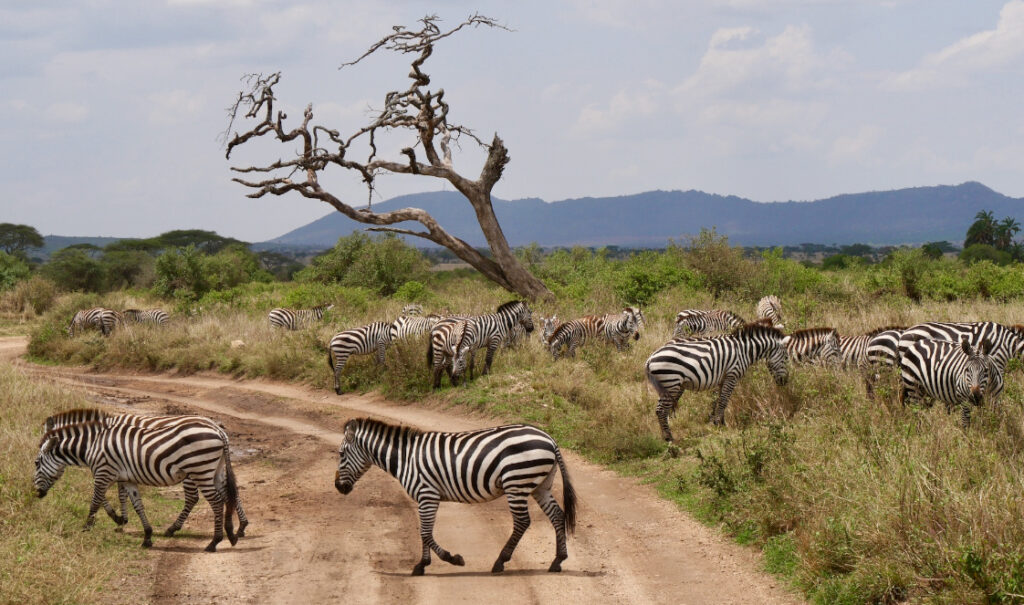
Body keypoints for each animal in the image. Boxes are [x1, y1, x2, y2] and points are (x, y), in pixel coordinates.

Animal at [34, 409, 240, 551]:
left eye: (36, 463)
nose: (36, 493)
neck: (93, 444)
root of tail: (217, 430)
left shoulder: (103, 473)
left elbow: (97, 500)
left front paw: (90, 527)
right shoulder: (126, 478)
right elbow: (137, 504)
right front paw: (146, 535)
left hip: (200, 471)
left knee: (214, 501)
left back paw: (214, 541)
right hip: (215, 470)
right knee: (228, 494)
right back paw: (233, 533)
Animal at [334, 418, 576, 575]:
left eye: (341, 454)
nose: (338, 487)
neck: (406, 458)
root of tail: (550, 439)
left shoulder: (427, 494)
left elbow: (425, 533)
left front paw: (450, 560)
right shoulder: (425, 498)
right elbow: (424, 532)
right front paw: (422, 565)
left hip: (517, 482)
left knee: (522, 521)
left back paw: (500, 562)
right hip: (540, 486)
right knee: (557, 515)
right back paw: (557, 561)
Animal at [645, 322, 791, 440]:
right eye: (786, 357)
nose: (784, 382)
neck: (745, 350)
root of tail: (650, 359)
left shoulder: (722, 378)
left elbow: (719, 400)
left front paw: (719, 422)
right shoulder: (732, 375)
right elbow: (724, 401)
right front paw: (719, 424)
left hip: (669, 386)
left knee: (663, 410)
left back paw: (666, 434)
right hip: (671, 383)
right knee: (660, 410)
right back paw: (669, 438)